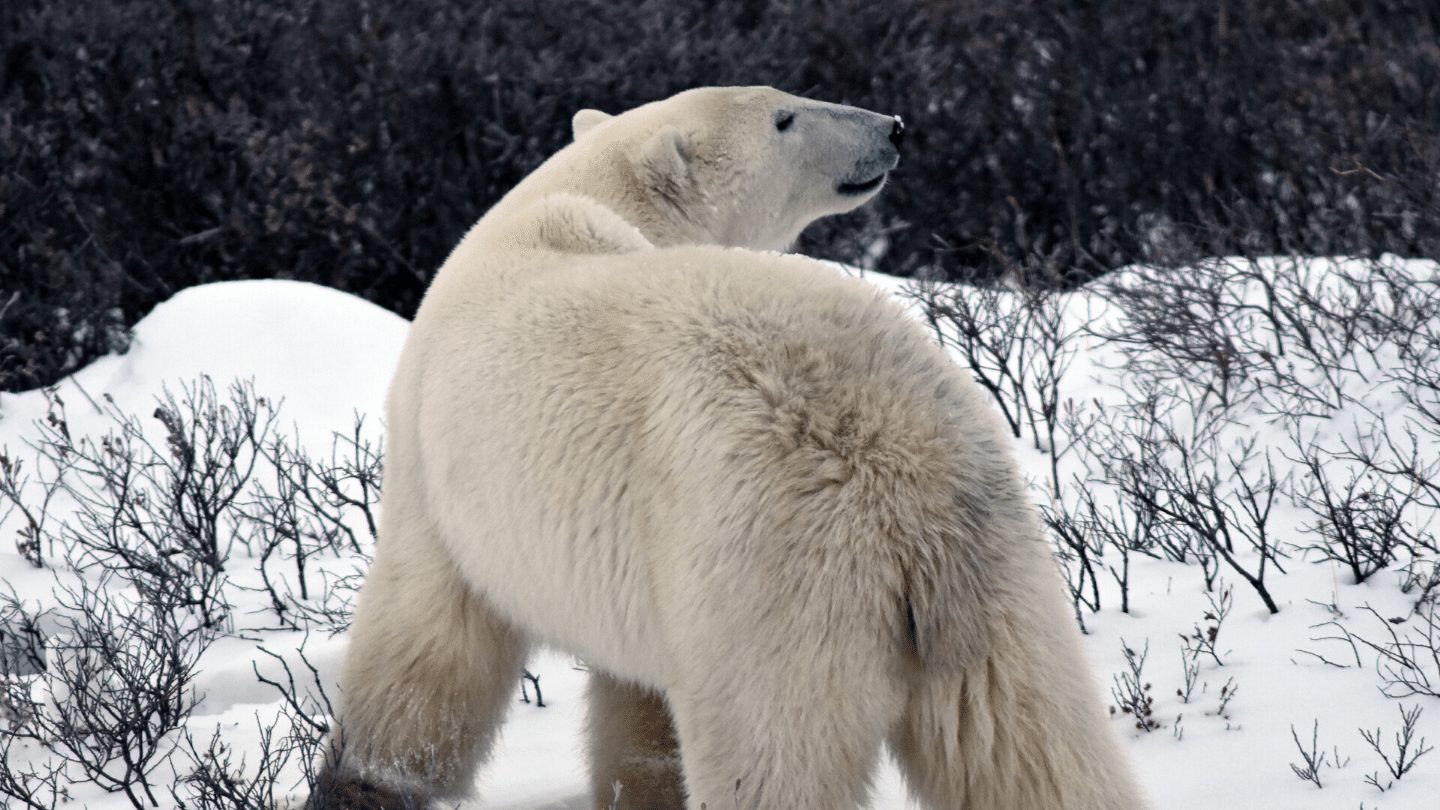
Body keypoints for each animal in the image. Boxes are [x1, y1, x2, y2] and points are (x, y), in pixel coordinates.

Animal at [306, 86, 1146, 810]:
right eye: (785, 115)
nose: (895, 126)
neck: (590, 202)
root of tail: (906, 473)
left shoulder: (438, 468)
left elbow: (426, 632)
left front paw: (362, 780)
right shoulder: (636, 556)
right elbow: (638, 710)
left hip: (772, 577)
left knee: (770, 755)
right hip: (995, 575)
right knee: (1029, 740)